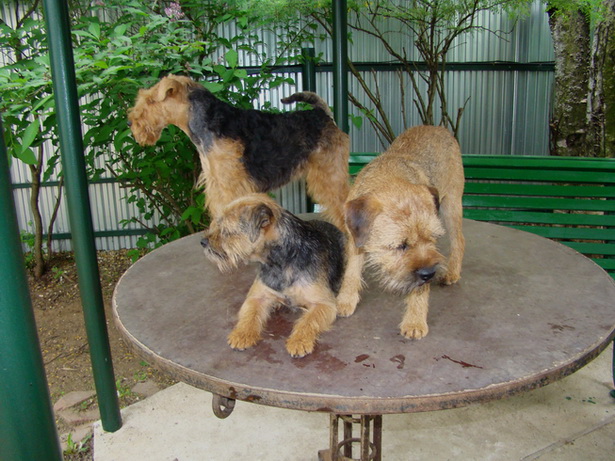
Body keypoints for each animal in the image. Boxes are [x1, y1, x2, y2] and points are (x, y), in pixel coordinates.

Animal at [128, 75, 350, 228]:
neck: (208, 123)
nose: (131, 123)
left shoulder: (230, 185)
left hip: (330, 172)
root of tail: (322, 114)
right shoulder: (216, 184)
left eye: (151, 101)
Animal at [200, 193, 346, 357]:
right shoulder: (256, 297)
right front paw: (242, 334)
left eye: (226, 230)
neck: (281, 262)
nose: (203, 241)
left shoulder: (323, 304)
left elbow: (308, 321)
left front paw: (299, 340)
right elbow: (249, 314)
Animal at [336, 125, 465, 340]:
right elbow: (351, 271)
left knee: (459, 240)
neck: (390, 176)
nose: (429, 274)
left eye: (432, 239)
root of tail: (438, 128)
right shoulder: (356, 239)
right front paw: (345, 299)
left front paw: (415, 320)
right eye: (401, 246)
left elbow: (420, 290)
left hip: (451, 204)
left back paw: (452, 272)